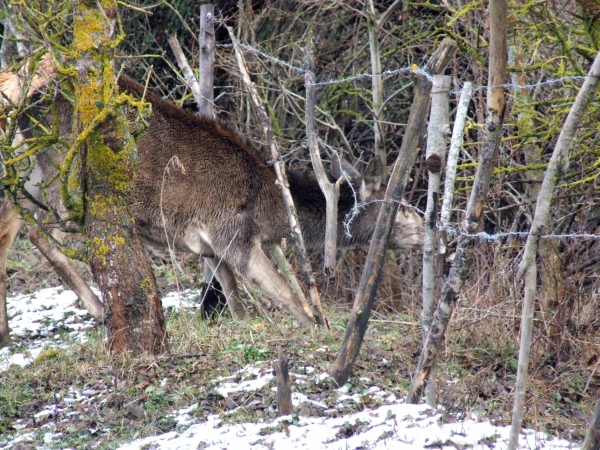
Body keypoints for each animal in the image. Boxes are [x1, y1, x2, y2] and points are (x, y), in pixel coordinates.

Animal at [0, 54, 424, 344]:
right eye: (398, 204)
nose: (429, 229)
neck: (269, 214)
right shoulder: (231, 233)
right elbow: (288, 296)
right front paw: (320, 331)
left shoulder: (209, 247)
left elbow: (235, 303)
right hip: (58, 172)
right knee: (35, 232)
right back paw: (99, 311)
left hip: (31, 175)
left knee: (20, 230)